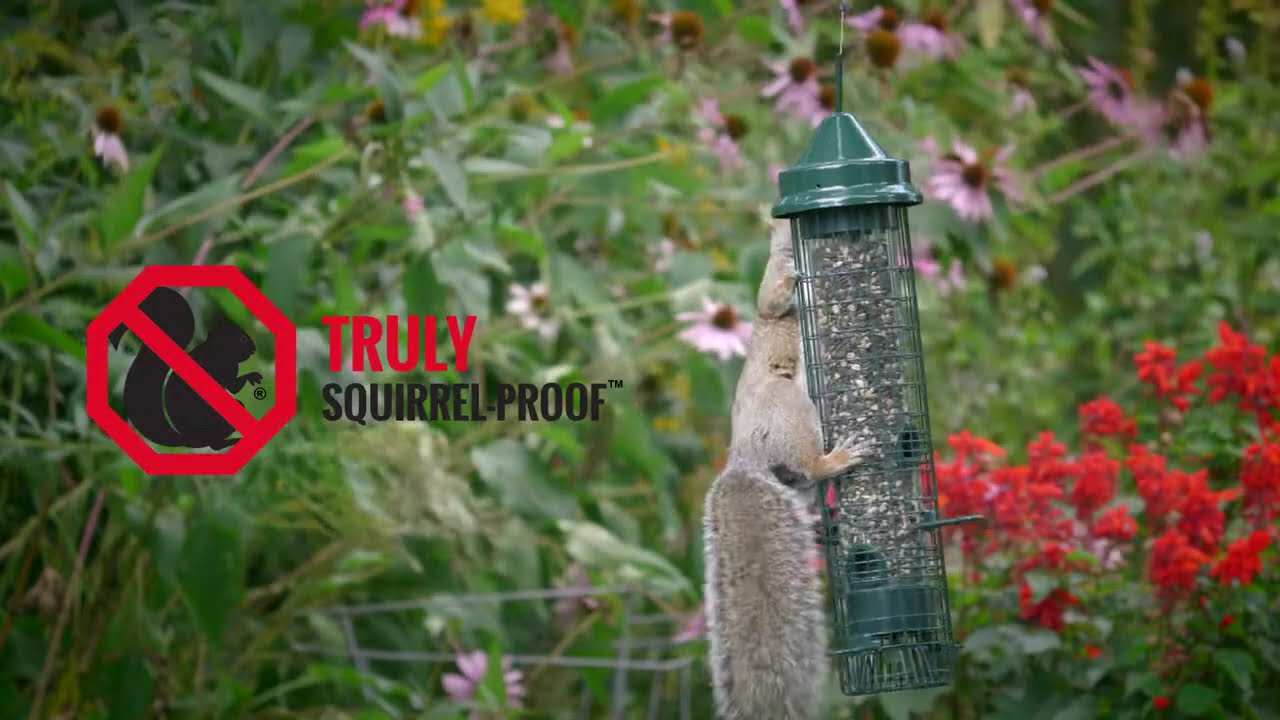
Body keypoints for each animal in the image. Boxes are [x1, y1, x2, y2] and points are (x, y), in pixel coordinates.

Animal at [107, 286, 263, 451]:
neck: (217, 349)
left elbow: (233, 387)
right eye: (242, 339)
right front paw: (253, 376)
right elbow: (233, 387)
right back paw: (232, 441)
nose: (254, 349)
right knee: (215, 444)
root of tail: (187, 439)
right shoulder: (226, 367)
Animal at [702, 221, 872, 720]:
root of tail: (743, 459)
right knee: (810, 465)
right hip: (790, 410)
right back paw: (835, 459)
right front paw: (795, 278)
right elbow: (770, 300)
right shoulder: (773, 273)